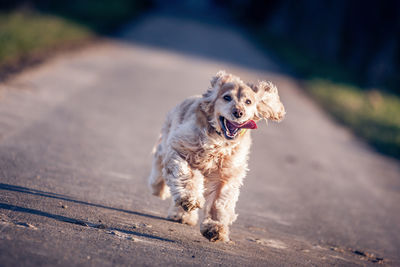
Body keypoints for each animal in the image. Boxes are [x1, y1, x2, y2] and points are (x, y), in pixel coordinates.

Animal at [149, 70, 284, 243]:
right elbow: (186, 177)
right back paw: (159, 188)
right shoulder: (179, 149)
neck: (219, 141)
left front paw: (215, 227)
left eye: (248, 101)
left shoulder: (226, 175)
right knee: (159, 162)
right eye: (227, 97)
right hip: (166, 139)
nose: (238, 112)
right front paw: (190, 199)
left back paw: (183, 216)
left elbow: (219, 202)